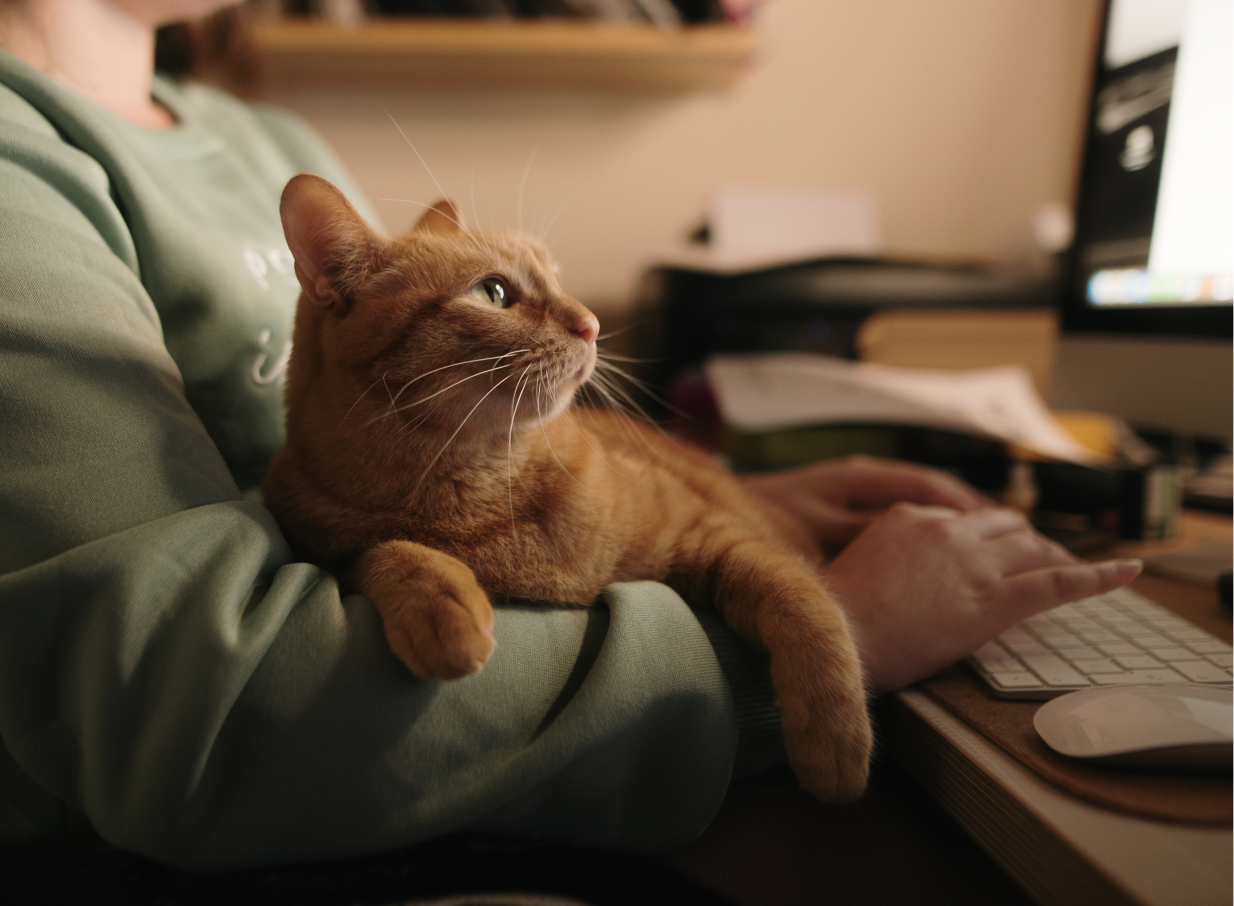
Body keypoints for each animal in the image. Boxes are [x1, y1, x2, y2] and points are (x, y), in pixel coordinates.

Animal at [265, 175, 873, 799]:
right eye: (493, 293)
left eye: (556, 277)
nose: (592, 324)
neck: (479, 490)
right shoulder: (322, 544)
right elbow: (378, 553)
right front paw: (438, 602)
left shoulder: (710, 535)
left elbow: (802, 603)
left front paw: (835, 745)